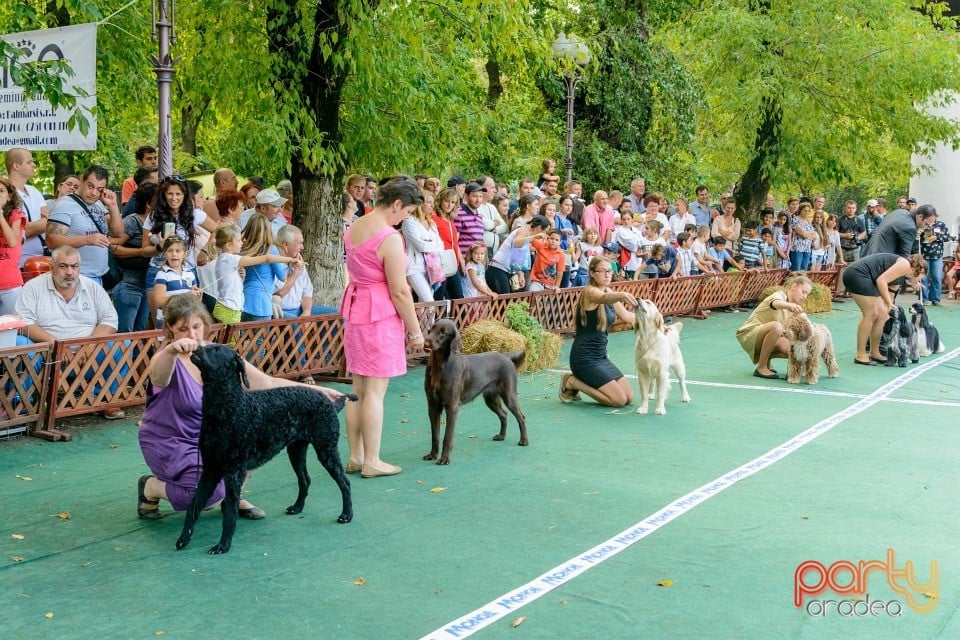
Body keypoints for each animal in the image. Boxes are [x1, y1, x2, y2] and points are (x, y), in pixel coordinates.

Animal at [174, 344, 354, 556]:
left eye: (216, 350)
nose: (196, 348)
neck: (229, 408)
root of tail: (330, 402)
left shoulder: (234, 473)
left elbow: (229, 515)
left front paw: (223, 545)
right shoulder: (211, 470)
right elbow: (193, 508)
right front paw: (184, 538)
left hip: (327, 450)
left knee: (345, 483)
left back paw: (346, 515)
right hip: (296, 450)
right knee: (305, 480)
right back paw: (297, 507)